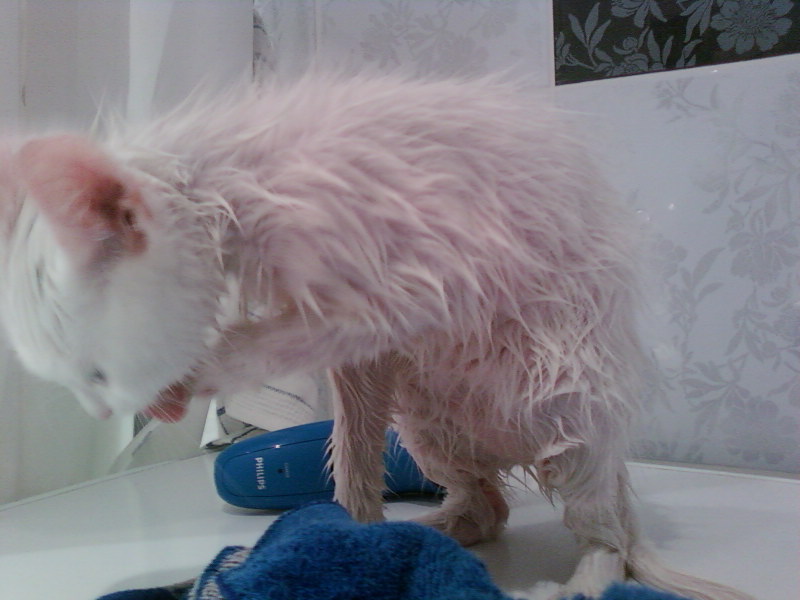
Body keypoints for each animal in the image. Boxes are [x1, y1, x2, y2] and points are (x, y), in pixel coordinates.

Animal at [0, 74, 752, 600]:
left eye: (96, 374)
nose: (105, 413)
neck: (224, 182)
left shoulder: (417, 274)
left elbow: (281, 341)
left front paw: (192, 376)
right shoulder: (356, 346)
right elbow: (354, 441)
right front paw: (351, 537)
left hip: (566, 394)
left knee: (609, 541)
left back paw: (574, 582)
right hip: (430, 427)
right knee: (491, 507)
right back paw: (429, 530)